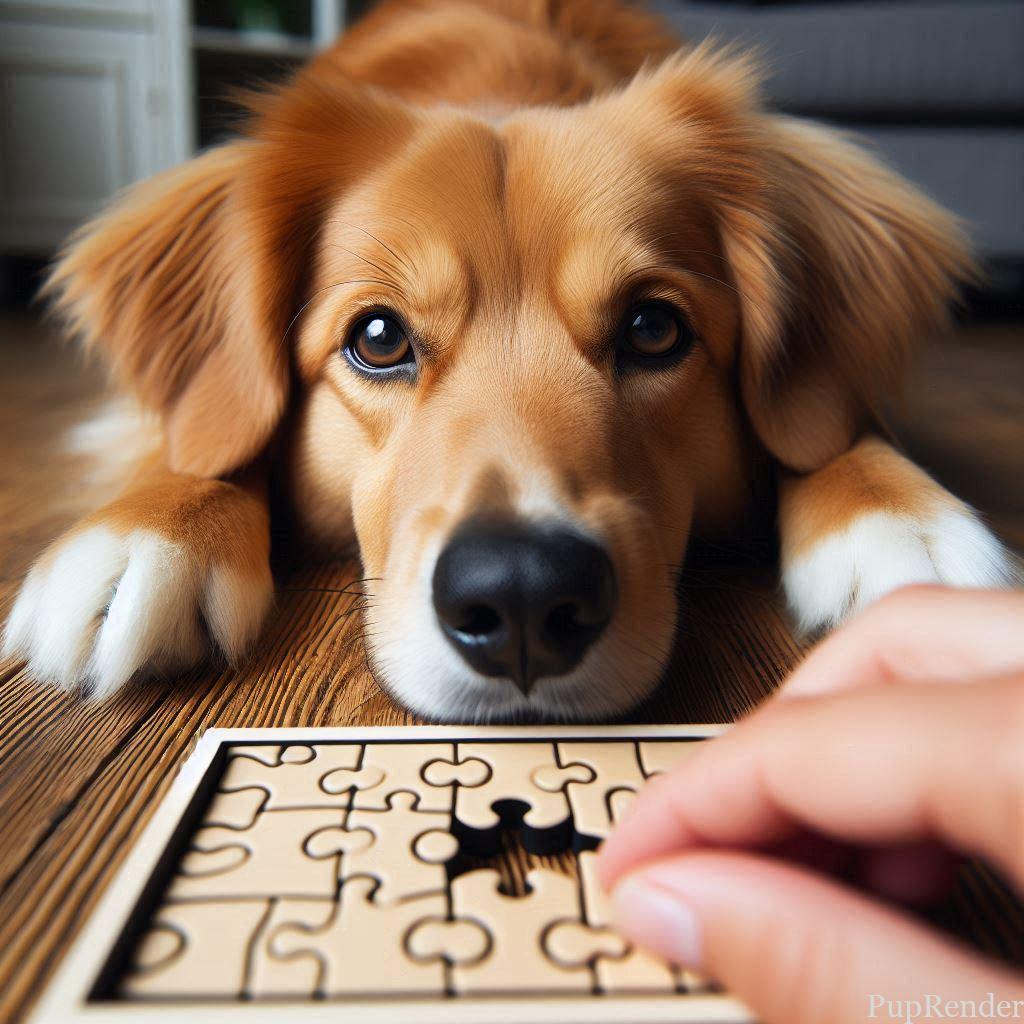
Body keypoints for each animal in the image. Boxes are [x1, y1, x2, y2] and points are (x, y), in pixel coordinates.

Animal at [2, 0, 1015, 720]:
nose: (525, 599)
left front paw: (894, 513)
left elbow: (831, 424)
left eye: (654, 329)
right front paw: (144, 529)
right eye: (378, 338)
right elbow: (196, 434)